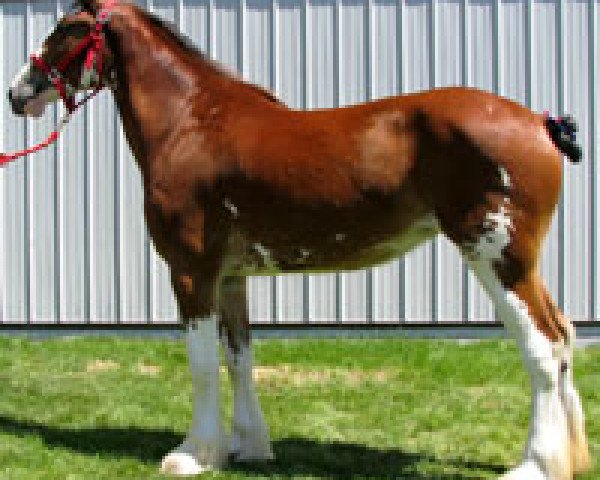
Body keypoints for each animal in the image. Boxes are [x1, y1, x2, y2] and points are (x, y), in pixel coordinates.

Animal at [5, 0, 592, 478]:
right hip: (517, 261)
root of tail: (539, 122)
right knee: (563, 336)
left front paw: (193, 454)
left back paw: (535, 465)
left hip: (497, 256)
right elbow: (238, 359)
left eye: (68, 28)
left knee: (542, 345)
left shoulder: (191, 271)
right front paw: (247, 448)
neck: (191, 121)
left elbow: (201, 364)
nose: (18, 93)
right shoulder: (230, 277)